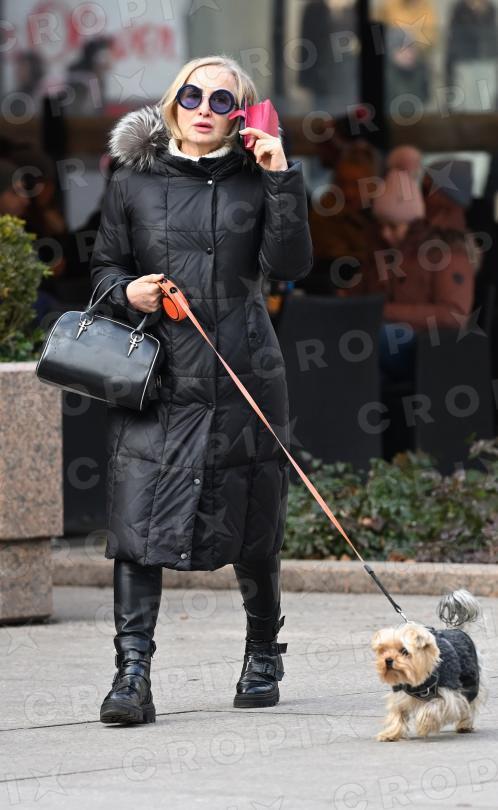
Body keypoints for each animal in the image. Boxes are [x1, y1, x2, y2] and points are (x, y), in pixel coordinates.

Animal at [371, 589, 486, 741]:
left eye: (404, 651)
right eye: (383, 650)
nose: (388, 660)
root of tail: (458, 630)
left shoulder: (449, 694)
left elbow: (433, 706)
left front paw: (423, 724)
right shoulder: (401, 694)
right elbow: (398, 713)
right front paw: (391, 733)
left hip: (471, 679)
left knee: (469, 704)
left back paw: (465, 725)